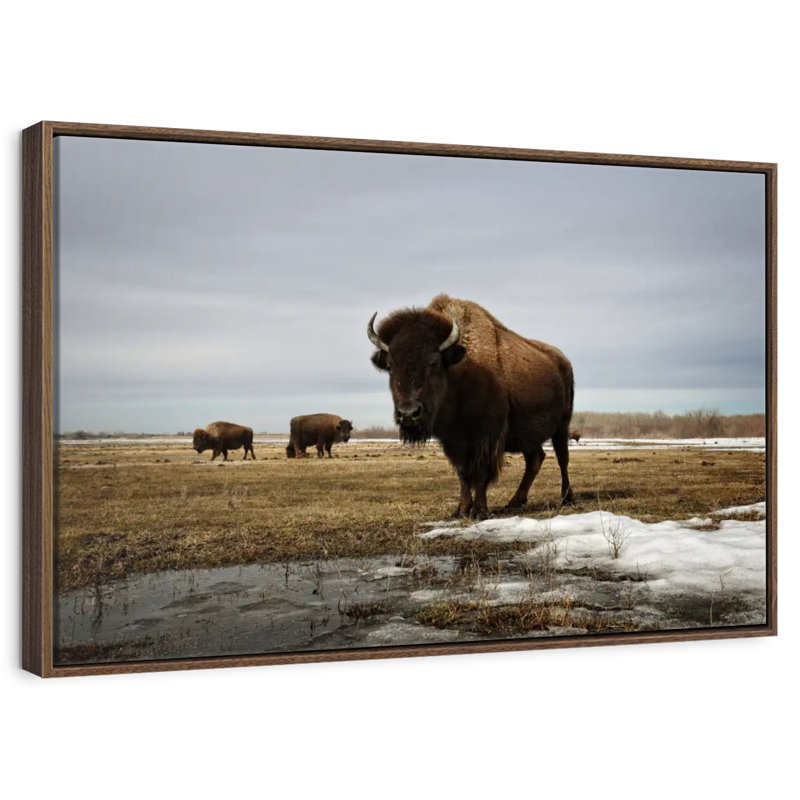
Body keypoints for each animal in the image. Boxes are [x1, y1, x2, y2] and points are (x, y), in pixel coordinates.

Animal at [368, 294, 574, 519]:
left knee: (562, 458)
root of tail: (563, 361)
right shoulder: (453, 440)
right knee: (535, 459)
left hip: (562, 425)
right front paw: (461, 510)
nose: (407, 413)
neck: (459, 371)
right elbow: (463, 473)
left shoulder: (486, 435)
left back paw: (567, 498)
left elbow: (481, 472)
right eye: (390, 365)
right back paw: (514, 502)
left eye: (434, 362)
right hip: (528, 436)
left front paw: (479, 511)